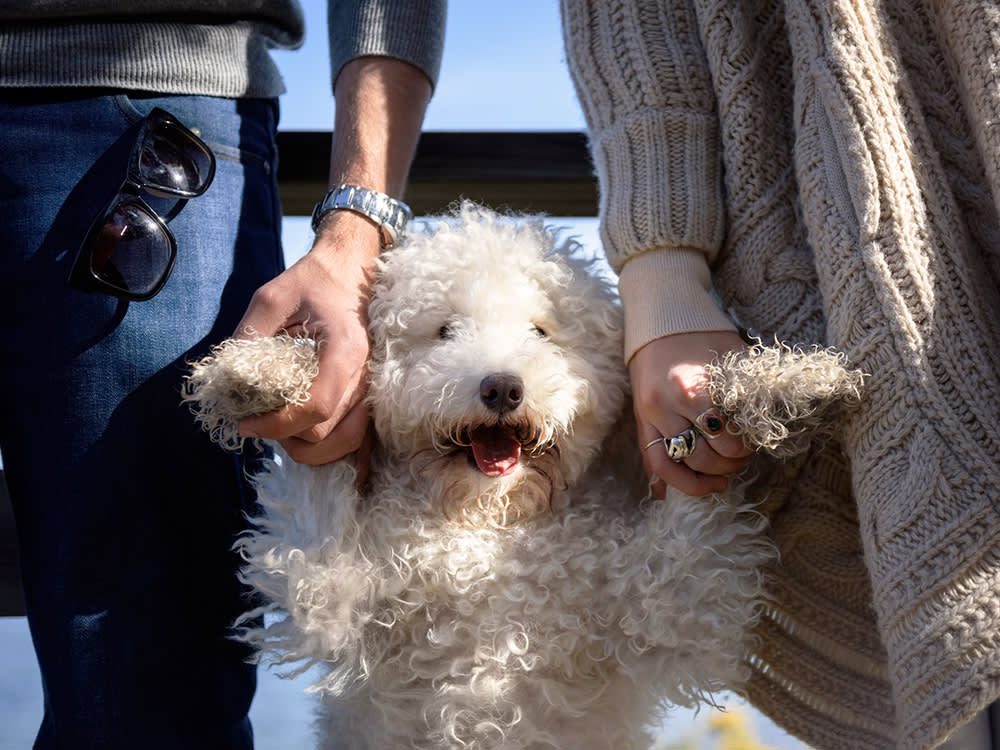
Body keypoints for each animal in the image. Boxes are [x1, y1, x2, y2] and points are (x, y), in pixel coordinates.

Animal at [184, 203, 864, 750]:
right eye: (444, 330)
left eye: (541, 331)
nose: (502, 387)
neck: (492, 531)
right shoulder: (327, 590)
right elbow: (316, 477)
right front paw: (266, 373)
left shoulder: (673, 597)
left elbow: (697, 499)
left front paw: (775, 390)